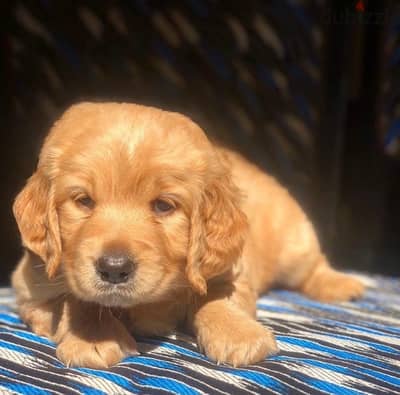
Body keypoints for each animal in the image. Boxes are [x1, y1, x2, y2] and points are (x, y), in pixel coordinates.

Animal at [10, 101, 366, 368]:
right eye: (83, 200)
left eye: (164, 206)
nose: (114, 269)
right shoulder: (31, 287)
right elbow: (75, 298)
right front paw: (94, 336)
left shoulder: (230, 273)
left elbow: (213, 298)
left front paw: (238, 335)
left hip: (295, 244)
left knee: (313, 267)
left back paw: (342, 285)